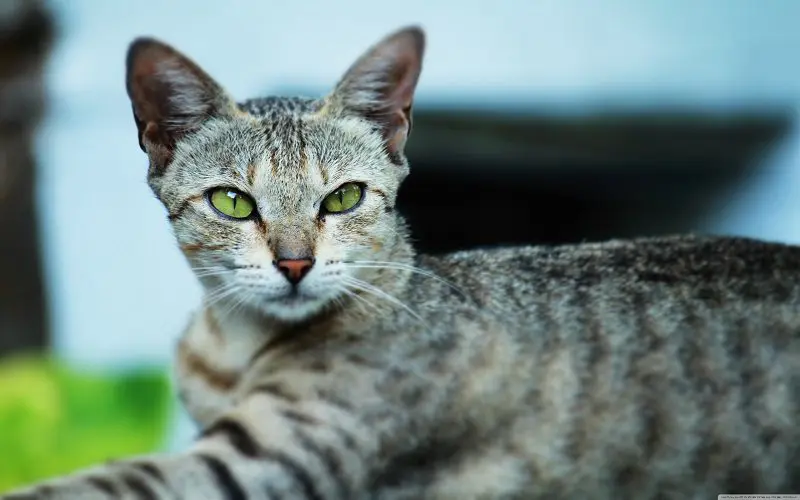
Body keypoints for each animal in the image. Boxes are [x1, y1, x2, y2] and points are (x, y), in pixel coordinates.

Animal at [3, 26, 796, 500]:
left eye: (344, 197)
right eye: (232, 202)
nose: (295, 263)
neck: (232, 347)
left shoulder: (259, 462)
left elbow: (100, 484)